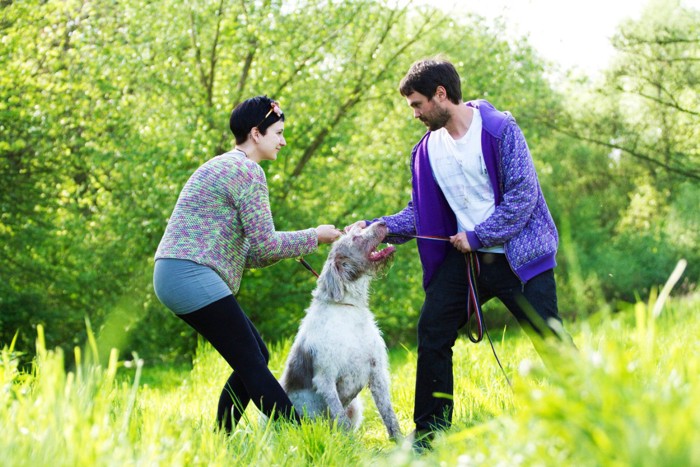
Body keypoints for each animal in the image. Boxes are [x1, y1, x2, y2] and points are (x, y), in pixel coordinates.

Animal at [278, 221, 400, 440]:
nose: (382, 222)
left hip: (356, 406)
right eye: (355, 237)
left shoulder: (377, 372)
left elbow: (389, 415)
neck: (348, 308)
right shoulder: (325, 378)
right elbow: (341, 420)